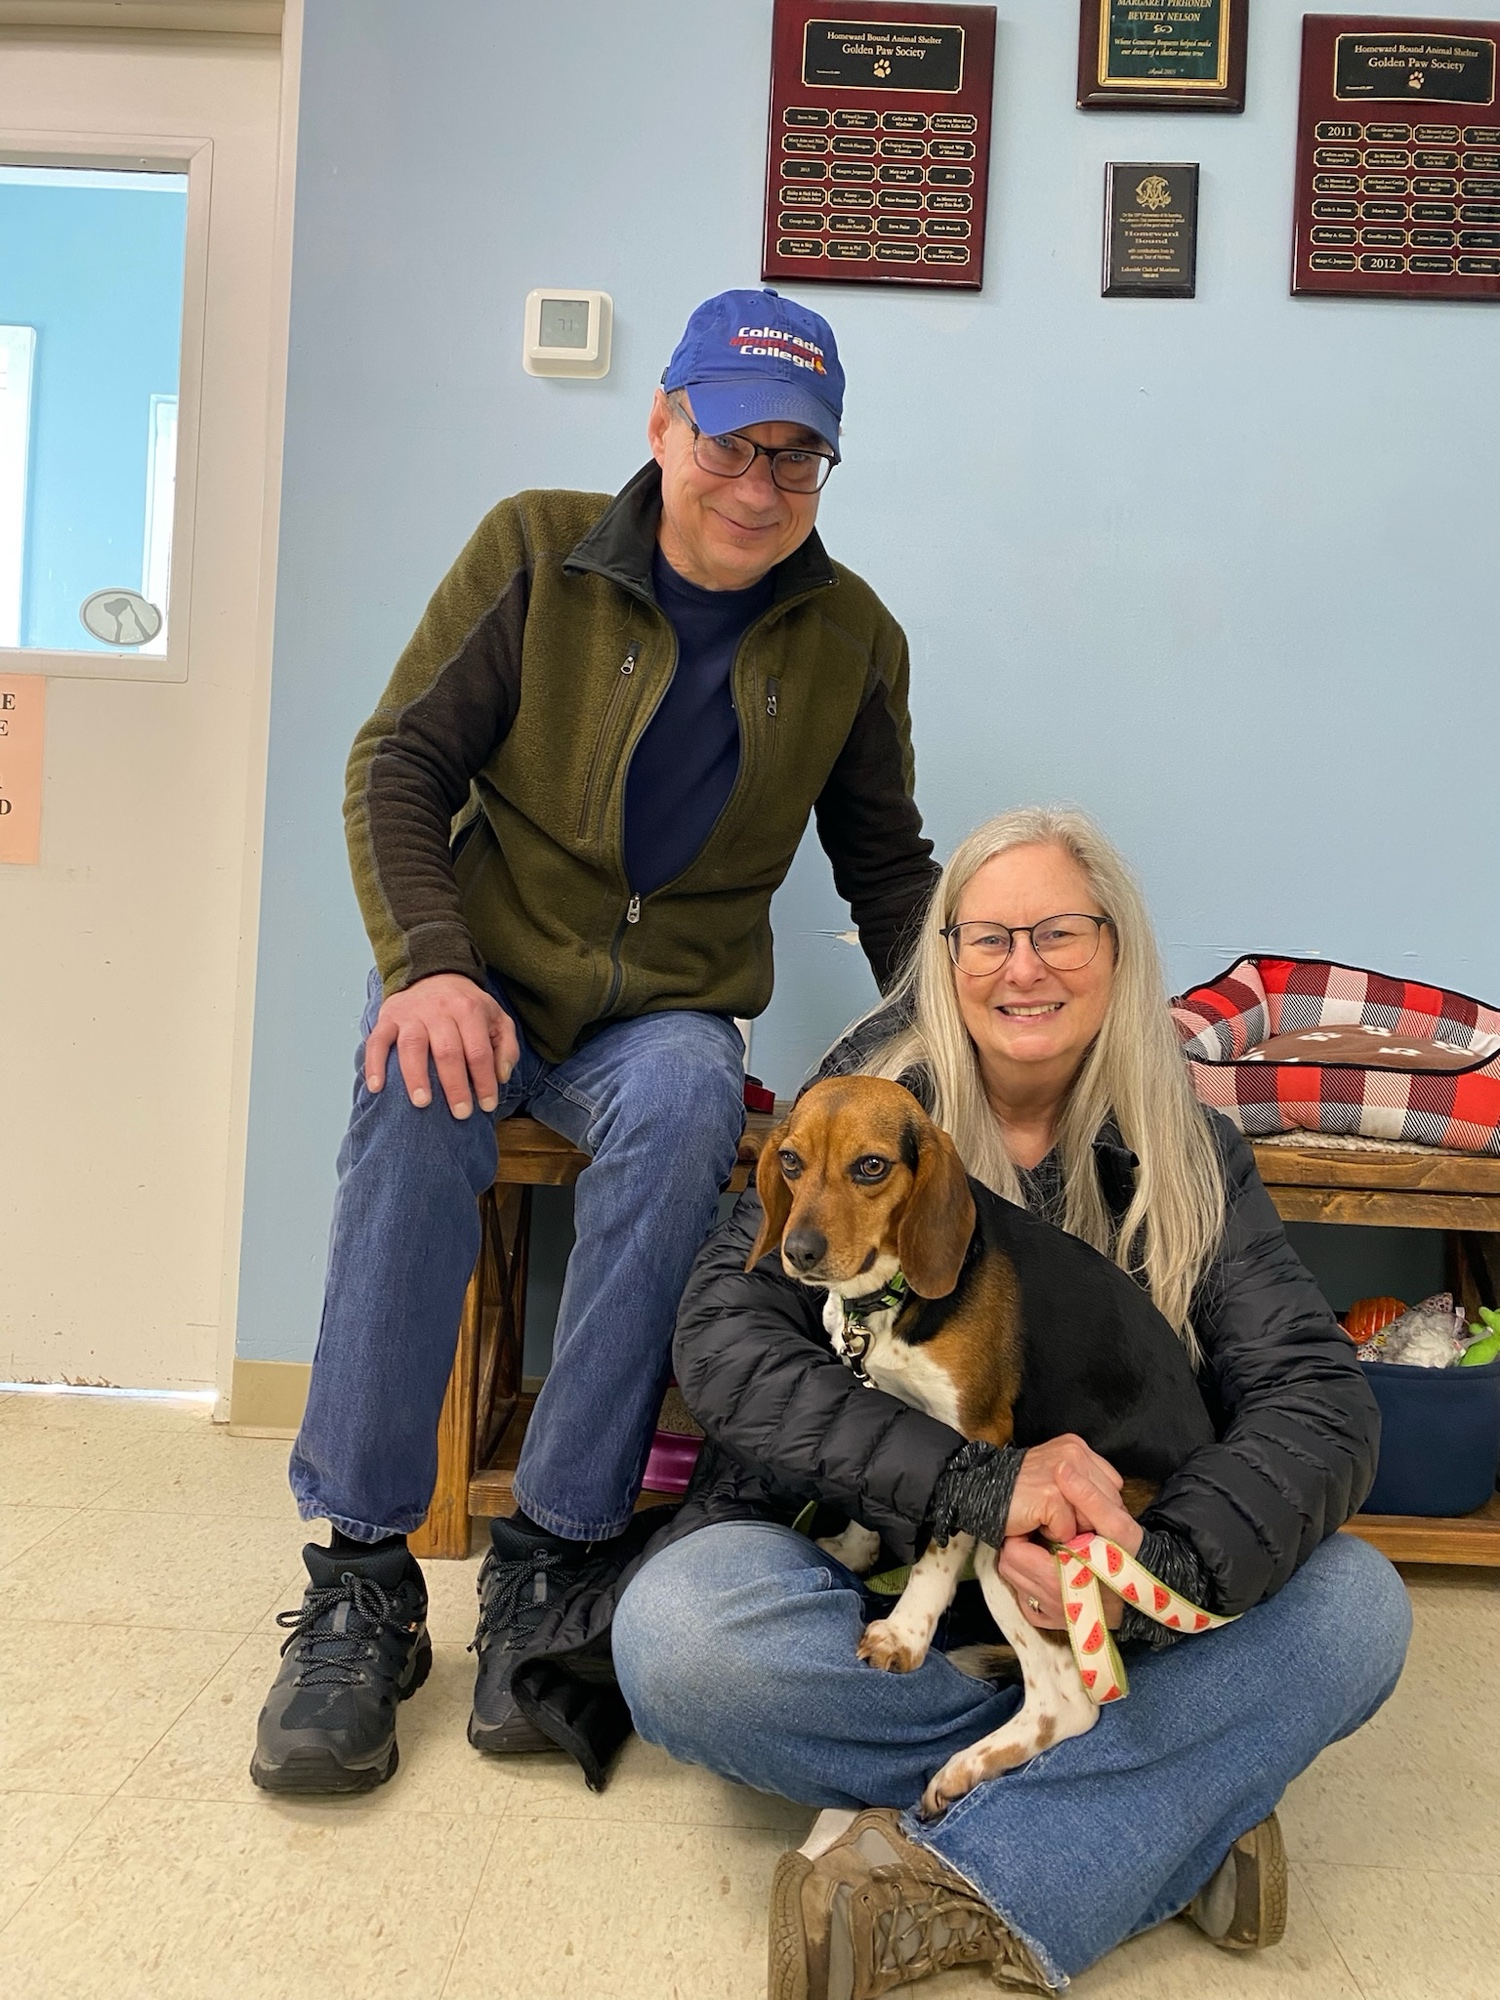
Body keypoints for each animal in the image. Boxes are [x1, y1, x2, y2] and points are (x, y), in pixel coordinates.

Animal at [747, 1074, 1214, 1818]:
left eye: (871, 1167)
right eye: (790, 1161)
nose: (801, 1252)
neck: (886, 1297)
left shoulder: (978, 1440)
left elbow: (938, 1551)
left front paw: (904, 1633)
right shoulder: (882, 1405)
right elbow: (867, 1488)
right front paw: (855, 1550)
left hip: (1020, 1532)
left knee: (1070, 1701)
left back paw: (964, 1768)